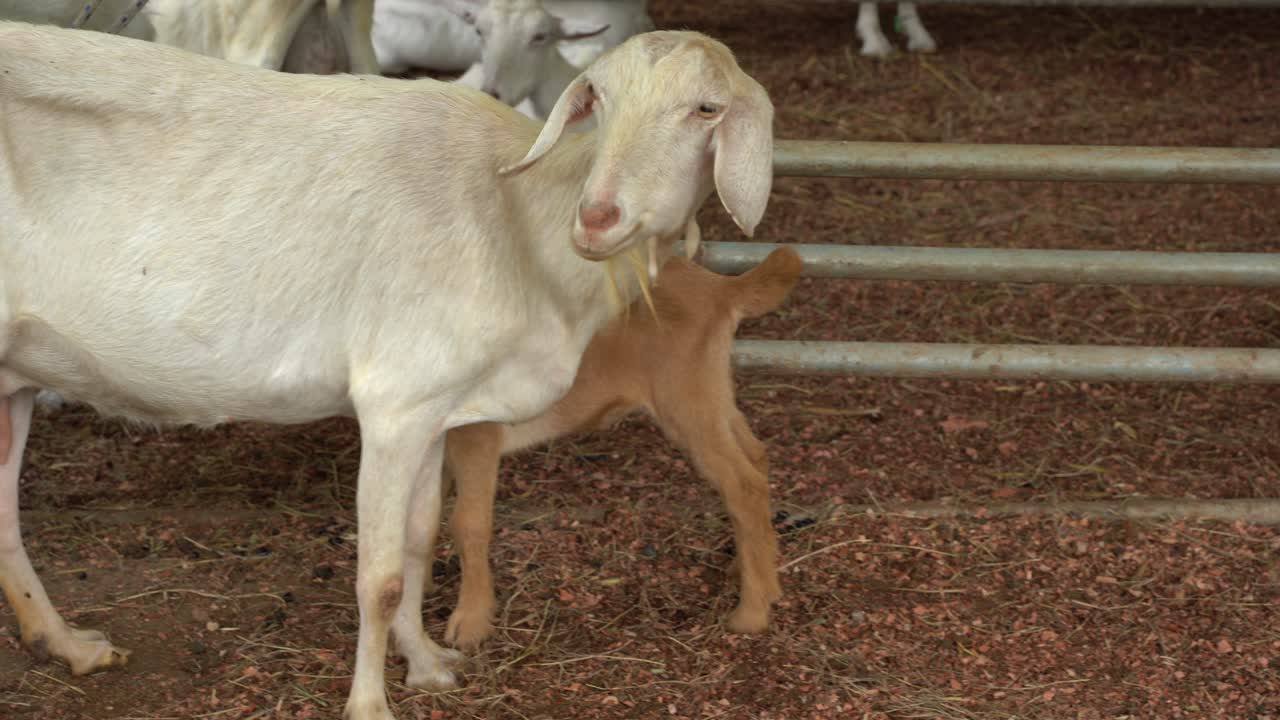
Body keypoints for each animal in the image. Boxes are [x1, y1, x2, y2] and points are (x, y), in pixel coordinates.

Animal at [442, 247, 802, 650]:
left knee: (743, 484)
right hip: (712, 395)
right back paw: (752, 573)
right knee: (755, 457)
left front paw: (470, 623)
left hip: (686, 402)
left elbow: (467, 522)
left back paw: (751, 612)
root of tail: (717, 287)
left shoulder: (475, 431)